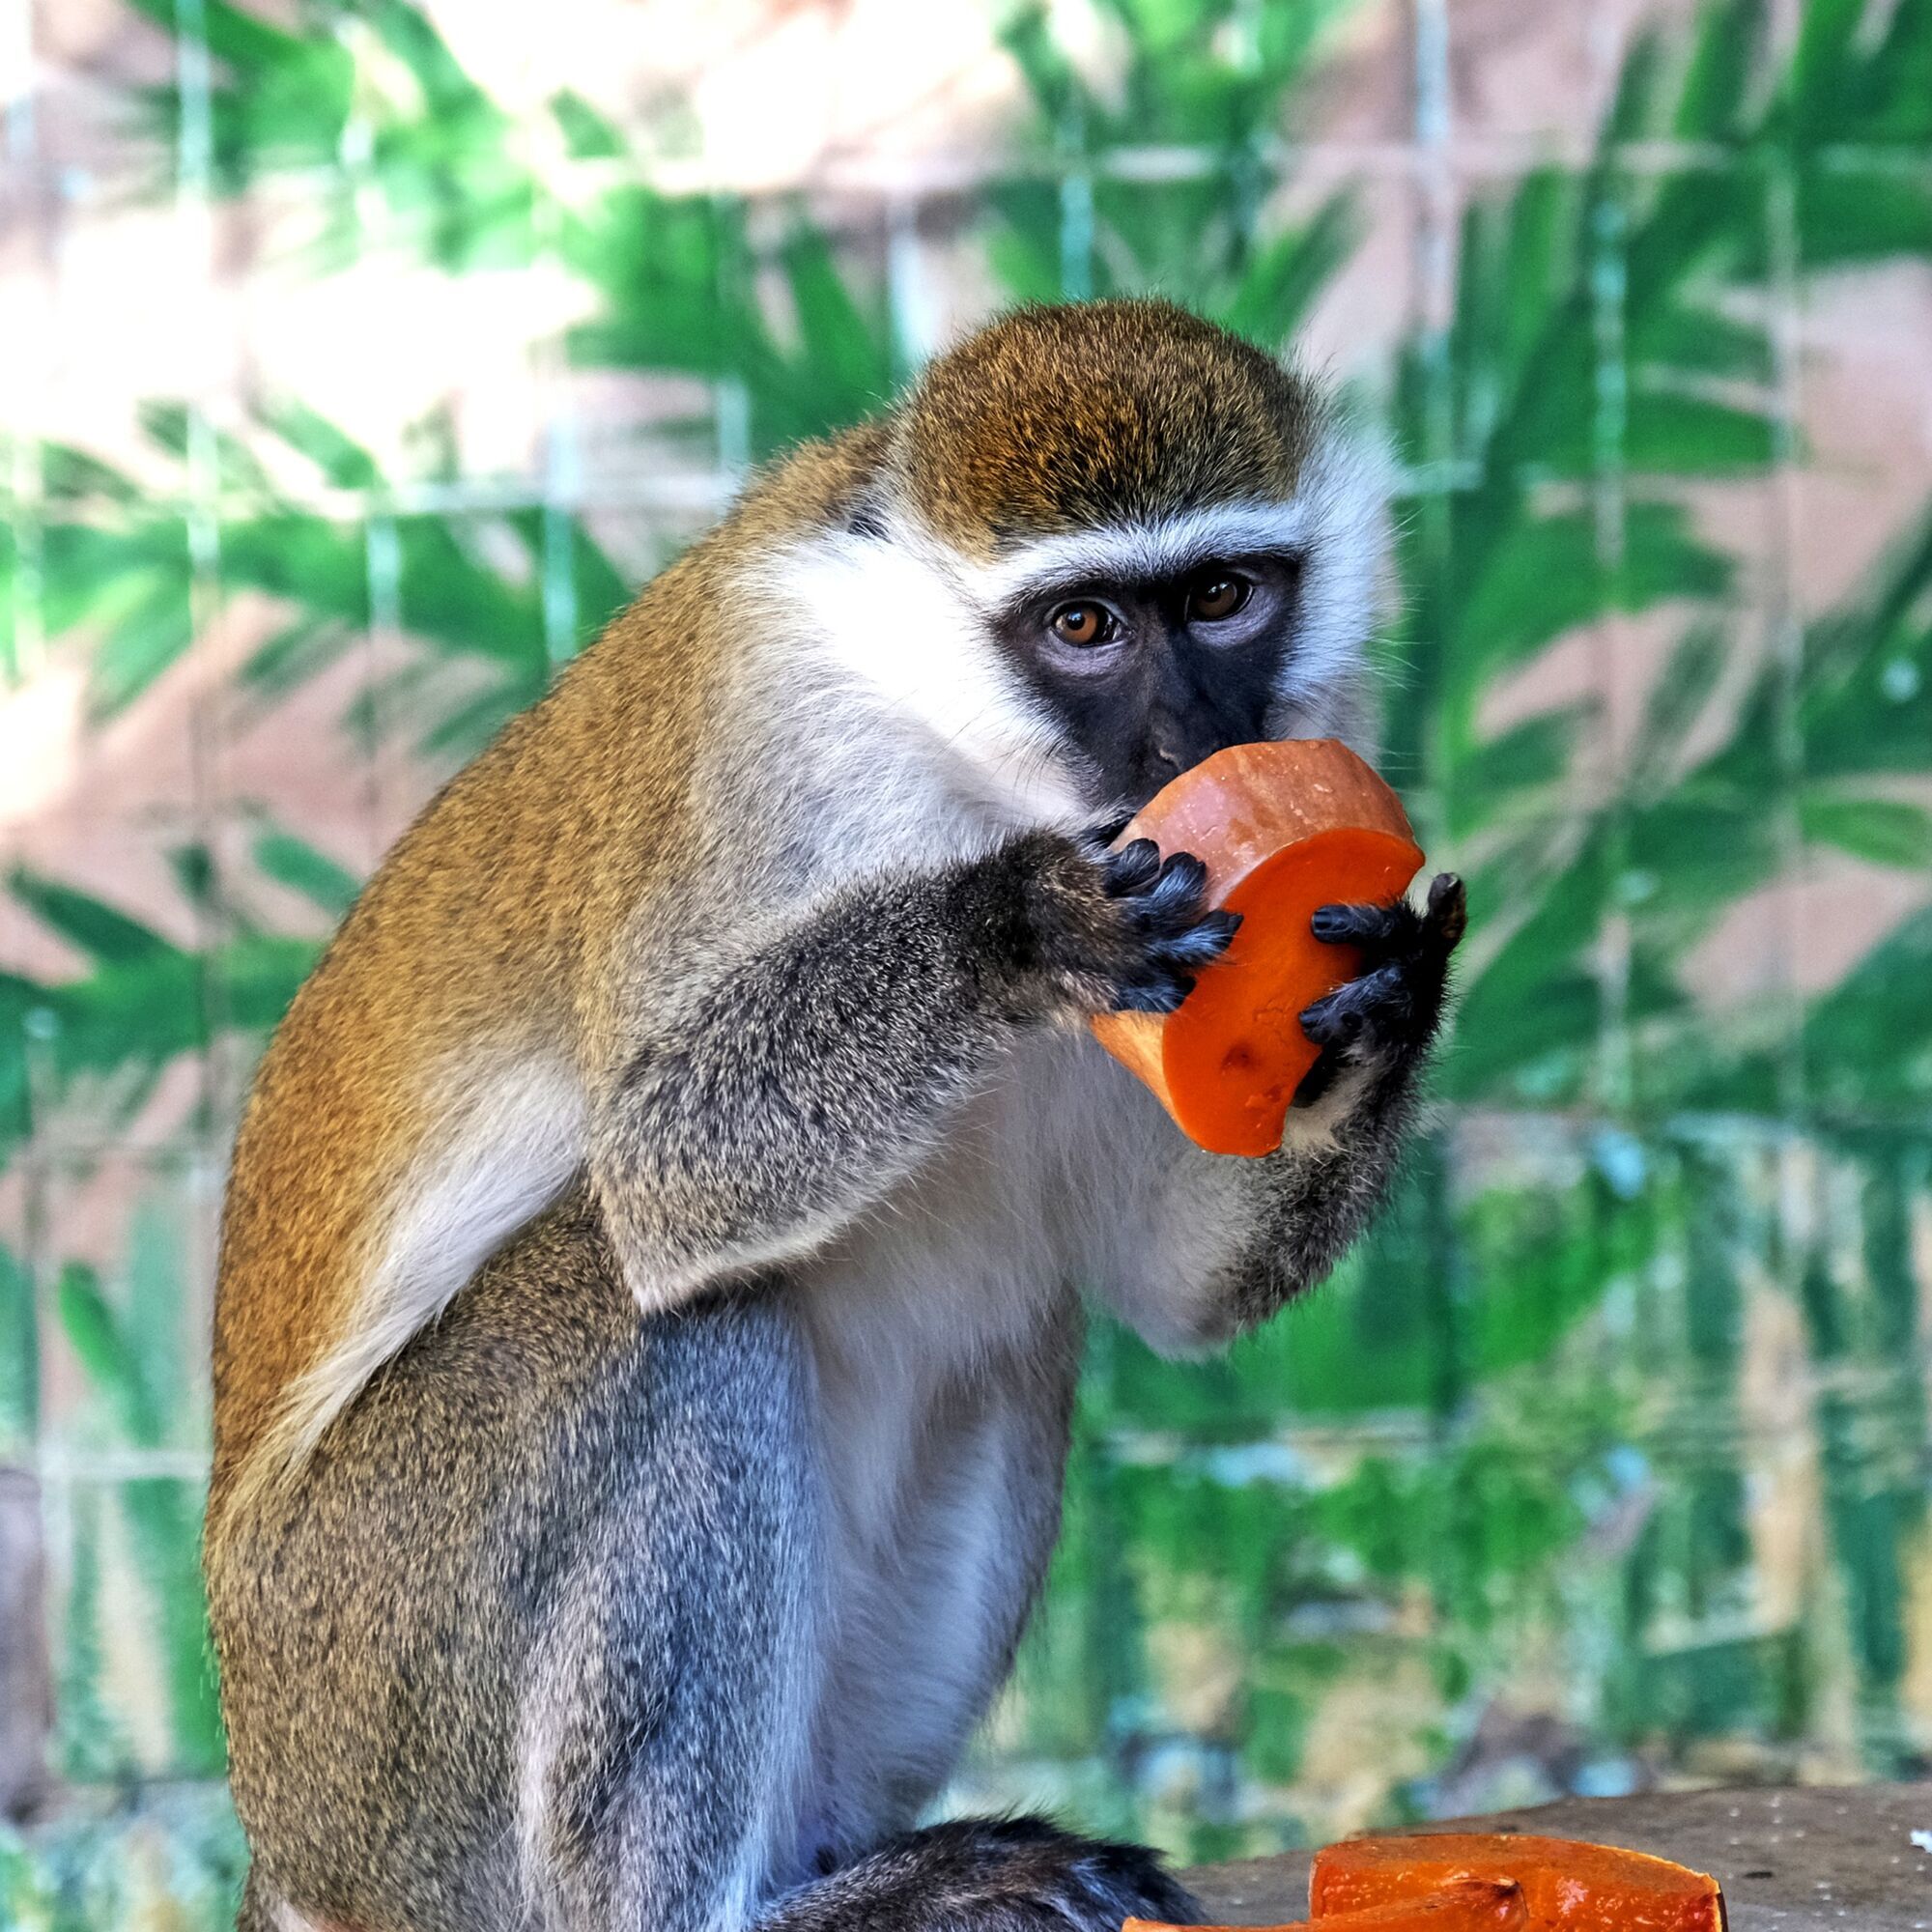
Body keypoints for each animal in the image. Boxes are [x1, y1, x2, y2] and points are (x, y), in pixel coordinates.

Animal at [208, 298, 1461, 1932]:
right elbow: (660, 1170)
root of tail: (284, 1848)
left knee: (1014, 1332)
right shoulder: (766, 745)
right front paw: (1011, 926)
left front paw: (1385, 993)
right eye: (1084, 627)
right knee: (653, 1315)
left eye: (1222, 596)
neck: (957, 748)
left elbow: (1169, 1286)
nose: (1189, 740)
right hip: (378, 1715)